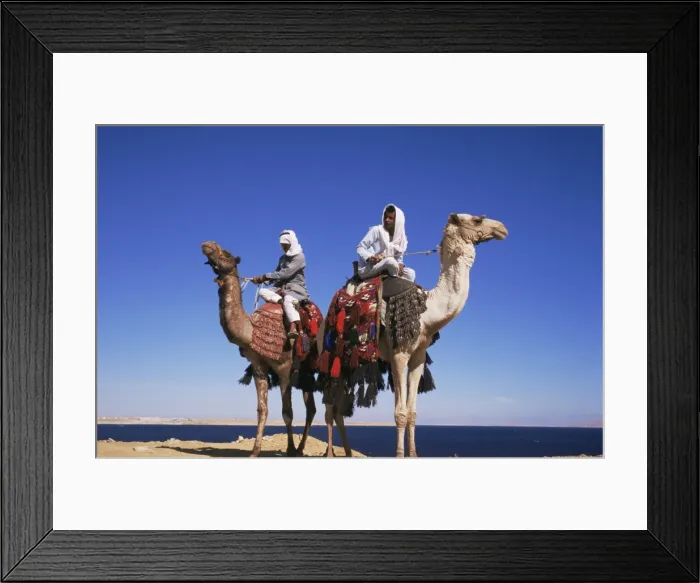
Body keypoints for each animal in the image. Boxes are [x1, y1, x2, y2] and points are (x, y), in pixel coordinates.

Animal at [201, 241, 320, 457]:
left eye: (227, 253)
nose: (207, 244)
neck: (252, 329)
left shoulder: (284, 367)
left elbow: (287, 412)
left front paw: (289, 449)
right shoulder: (258, 366)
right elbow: (262, 410)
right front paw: (255, 451)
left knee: (310, 408)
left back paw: (299, 449)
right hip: (305, 372)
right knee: (311, 408)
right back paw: (300, 448)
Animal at [318, 212, 508, 457]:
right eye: (477, 219)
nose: (502, 228)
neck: (427, 310)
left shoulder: (417, 356)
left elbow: (412, 412)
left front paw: (413, 454)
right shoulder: (400, 354)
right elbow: (400, 412)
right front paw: (400, 455)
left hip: (349, 362)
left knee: (339, 408)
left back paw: (348, 453)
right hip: (331, 354)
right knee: (329, 408)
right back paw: (330, 453)